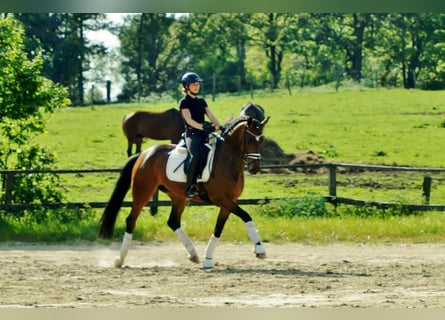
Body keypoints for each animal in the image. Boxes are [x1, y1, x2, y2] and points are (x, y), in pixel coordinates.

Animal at [98, 115, 268, 268]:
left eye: (261, 141)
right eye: (250, 140)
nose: (255, 168)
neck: (228, 161)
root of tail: (143, 154)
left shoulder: (229, 201)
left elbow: (218, 229)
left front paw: (208, 258)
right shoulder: (222, 199)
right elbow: (246, 216)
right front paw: (260, 249)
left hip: (178, 196)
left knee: (173, 222)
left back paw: (194, 255)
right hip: (143, 193)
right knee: (131, 220)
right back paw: (120, 259)